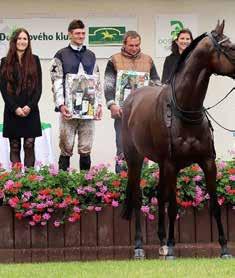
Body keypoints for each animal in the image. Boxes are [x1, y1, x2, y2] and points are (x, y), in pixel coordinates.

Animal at [122, 21, 235, 258]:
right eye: (229, 47)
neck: (184, 111)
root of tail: (130, 100)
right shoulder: (172, 164)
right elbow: (173, 205)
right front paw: (173, 246)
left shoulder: (207, 162)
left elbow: (215, 205)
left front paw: (224, 248)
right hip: (135, 159)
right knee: (137, 197)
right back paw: (139, 246)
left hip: (160, 164)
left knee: (159, 194)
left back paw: (162, 241)